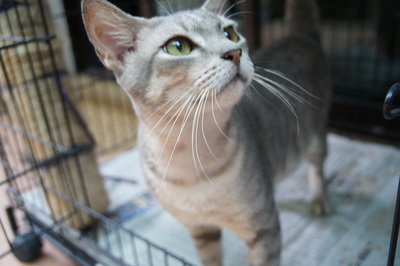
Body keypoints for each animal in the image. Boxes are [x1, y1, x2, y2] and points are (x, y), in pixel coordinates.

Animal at [82, 0, 332, 264]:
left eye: (230, 34)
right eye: (178, 46)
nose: (234, 52)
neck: (190, 160)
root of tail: (299, 34)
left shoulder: (265, 230)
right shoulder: (201, 230)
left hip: (317, 135)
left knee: (317, 167)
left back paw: (319, 199)